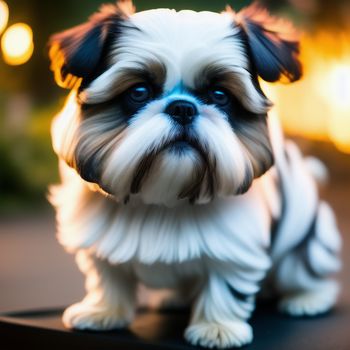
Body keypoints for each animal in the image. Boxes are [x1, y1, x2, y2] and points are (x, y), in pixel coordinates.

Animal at [47, 1, 340, 348]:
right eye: (139, 91)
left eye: (220, 95)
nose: (183, 108)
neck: (164, 198)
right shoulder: (99, 240)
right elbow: (107, 277)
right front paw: (102, 311)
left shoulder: (235, 248)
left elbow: (224, 284)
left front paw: (217, 328)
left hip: (304, 244)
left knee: (304, 270)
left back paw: (307, 299)